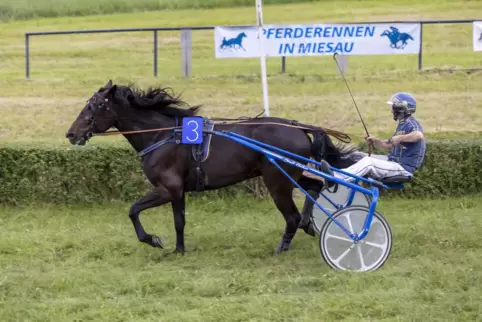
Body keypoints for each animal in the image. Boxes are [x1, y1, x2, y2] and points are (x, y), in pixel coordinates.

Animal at [65, 81, 358, 256]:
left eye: (93, 106)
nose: (71, 133)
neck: (162, 135)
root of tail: (298, 127)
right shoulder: (177, 191)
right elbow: (179, 221)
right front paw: (179, 250)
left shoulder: (167, 188)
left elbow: (133, 210)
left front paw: (153, 240)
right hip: (288, 176)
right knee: (315, 186)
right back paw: (309, 224)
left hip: (277, 182)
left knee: (292, 216)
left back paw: (283, 245)